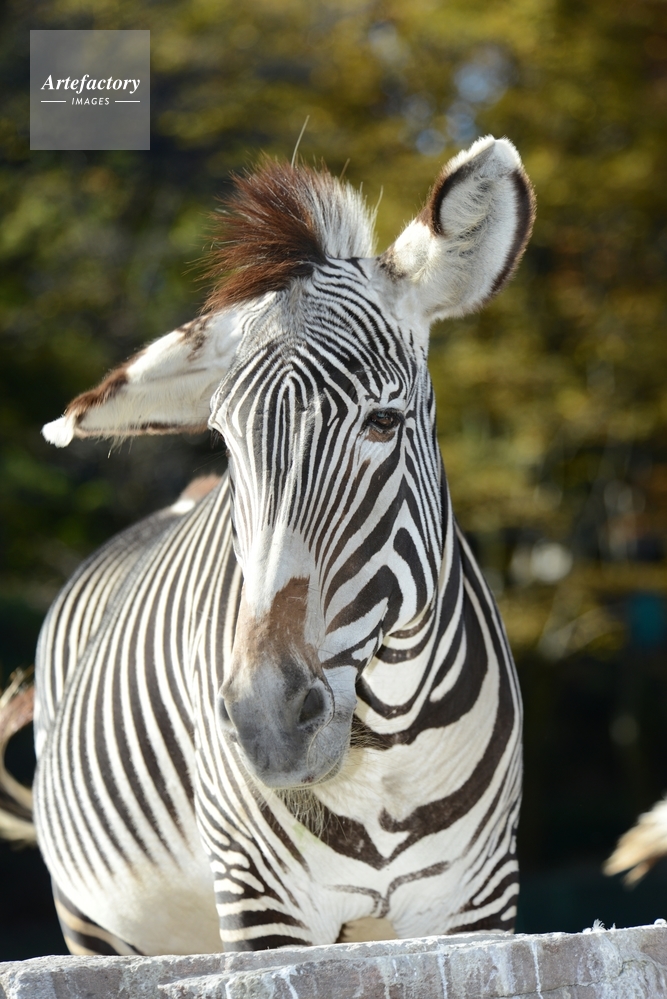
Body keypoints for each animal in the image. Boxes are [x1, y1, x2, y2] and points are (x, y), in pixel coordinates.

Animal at [3, 135, 535, 955]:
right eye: (225, 442)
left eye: (384, 421)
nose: (268, 722)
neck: (388, 746)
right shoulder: (260, 903)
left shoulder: (477, 906)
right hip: (91, 920)